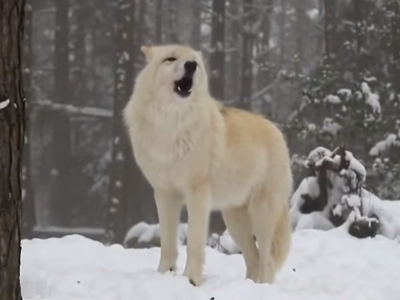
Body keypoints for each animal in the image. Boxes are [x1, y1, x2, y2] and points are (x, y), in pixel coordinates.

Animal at [123, 44, 292, 286]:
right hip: (235, 221)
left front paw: (191, 280)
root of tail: (276, 130)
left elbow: (194, 244)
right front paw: (164, 275)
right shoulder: (165, 194)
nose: (191, 66)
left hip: (262, 216)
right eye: (170, 59)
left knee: (266, 259)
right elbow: (167, 244)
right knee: (253, 258)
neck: (171, 126)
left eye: (194, 61)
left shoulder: (197, 194)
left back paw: (262, 286)